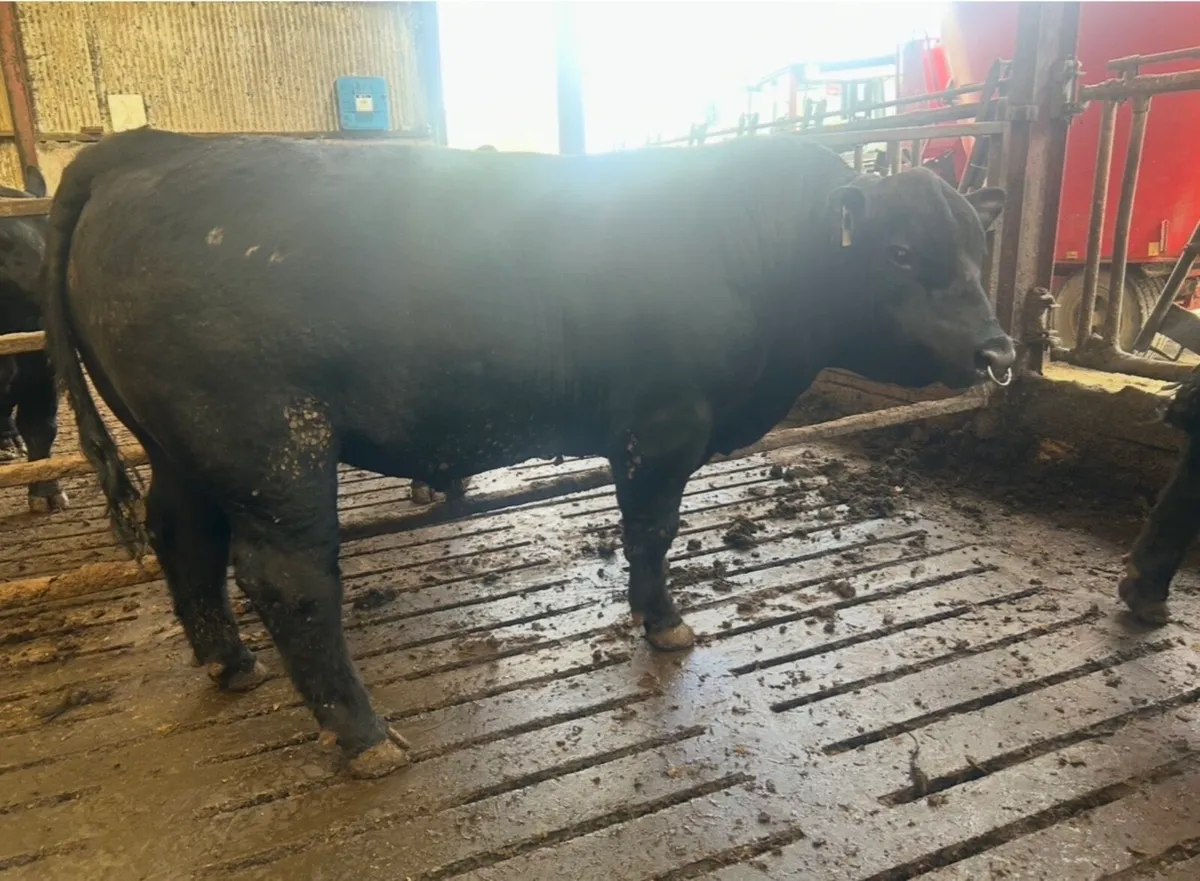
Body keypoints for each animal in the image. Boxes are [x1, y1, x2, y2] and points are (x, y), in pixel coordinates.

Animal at [42, 128, 1015, 777]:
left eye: (979, 249)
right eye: (900, 251)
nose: (997, 351)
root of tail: (145, 148)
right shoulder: (661, 428)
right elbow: (652, 532)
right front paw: (664, 622)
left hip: (181, 446)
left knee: (183, 538)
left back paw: (230, 663)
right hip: (271, 445)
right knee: (290, 582)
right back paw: (364, 736)